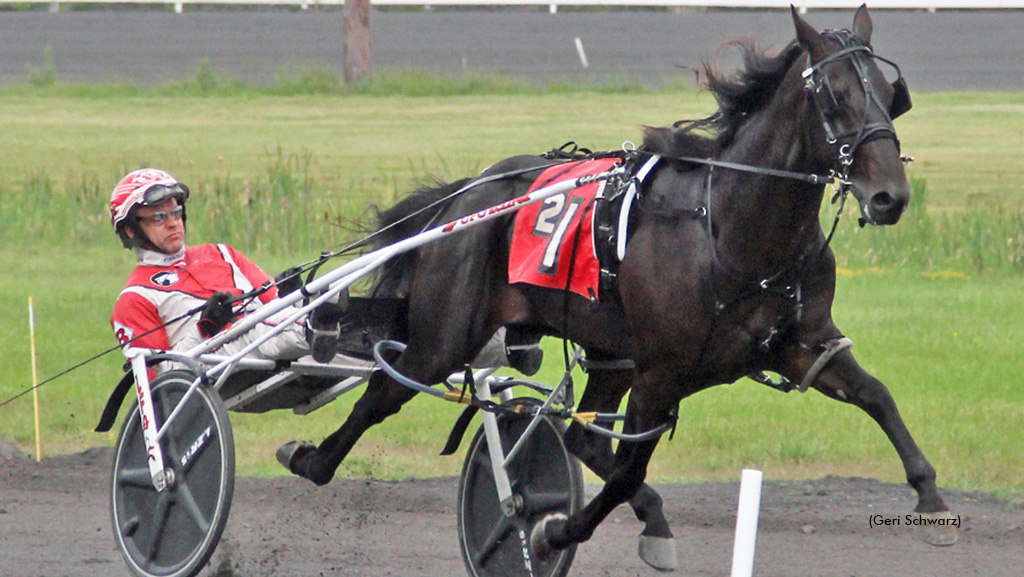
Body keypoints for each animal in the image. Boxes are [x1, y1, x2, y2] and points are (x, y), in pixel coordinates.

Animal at [282, 5, 958, 569]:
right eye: (837, 95)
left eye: (892, 98)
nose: (889, 197)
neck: (725, 223)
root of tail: (468, 194)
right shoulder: (663, 371)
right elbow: (628, 469)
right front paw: (552, 531)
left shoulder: (799, 345)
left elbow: (876, 396)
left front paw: (930, 499)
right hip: (448, 334)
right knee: (382, 394)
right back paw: (310, 459)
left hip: (611, 352)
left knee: (579, 431)